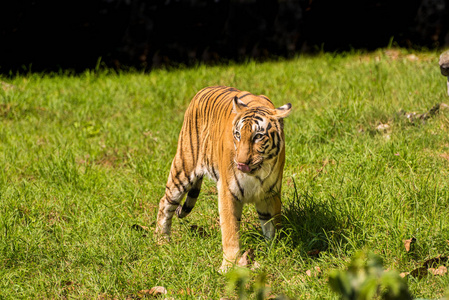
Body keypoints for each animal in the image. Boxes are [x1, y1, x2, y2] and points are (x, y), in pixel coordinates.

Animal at [156, 85, 292, 272]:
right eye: (237, 135)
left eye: (258, 136)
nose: (241, 162)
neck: (257, 173)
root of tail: (203, 90)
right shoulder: (228, 191)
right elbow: (230, 230)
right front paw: (229, 265)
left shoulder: (270, 193)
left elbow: (272, 224)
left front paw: (274, 250)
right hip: (183, 168)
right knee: (165, 202)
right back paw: (162, 241)